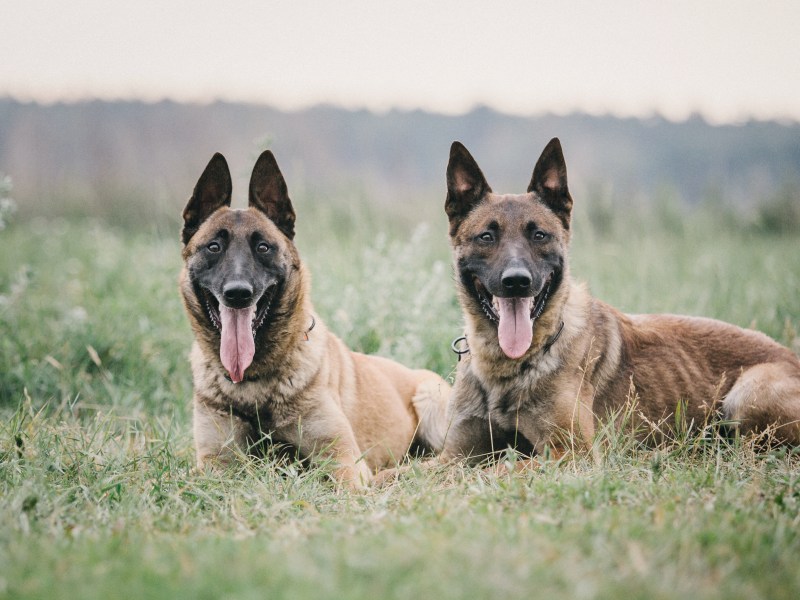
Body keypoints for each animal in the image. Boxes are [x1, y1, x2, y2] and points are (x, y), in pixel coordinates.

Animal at [179, 150, 450, 488]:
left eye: (263, 247)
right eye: (213, 247)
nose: (238, 293)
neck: (254, 382)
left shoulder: (344, 462)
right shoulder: (214, 464)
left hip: (431, 400)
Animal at [438, 138, 800, 462]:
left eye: (539, 235)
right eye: (487, 236)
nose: (516, 282)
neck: (508, 365)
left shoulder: (572, 455)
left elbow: (499, 470)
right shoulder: (453, 455)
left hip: (747, 394)